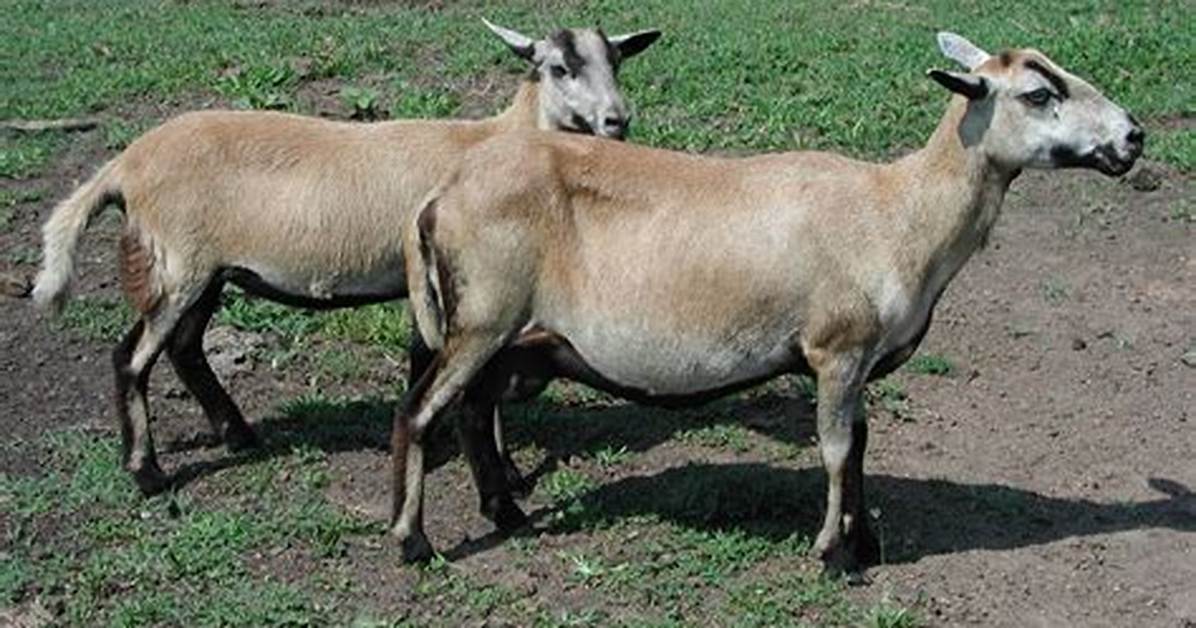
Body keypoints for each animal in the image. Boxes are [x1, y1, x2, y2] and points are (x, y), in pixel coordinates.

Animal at [30, 19, 662, 495]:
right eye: (558, 67)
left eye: (616, 62)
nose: (617, 121)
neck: (499, 136)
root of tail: (125, 164)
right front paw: (498, 468)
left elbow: (423, 359)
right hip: (178, 263)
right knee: (132, 359)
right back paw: (148, 473)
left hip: (206, 270)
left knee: (184, 349)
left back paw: (239, 435)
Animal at [391, 32, 1144, 572]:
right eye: (1040, 94)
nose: (1134, 136)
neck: (901, 213)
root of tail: (438, 198)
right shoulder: (837, 348)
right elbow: (836, 450)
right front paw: (833, 555)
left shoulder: (858, 362)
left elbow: (860, 445)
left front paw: (864, 542)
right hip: (482, 319)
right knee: (421, 412)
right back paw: (413, 542)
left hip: (509, 336)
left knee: (470, 410)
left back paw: (505, 513)